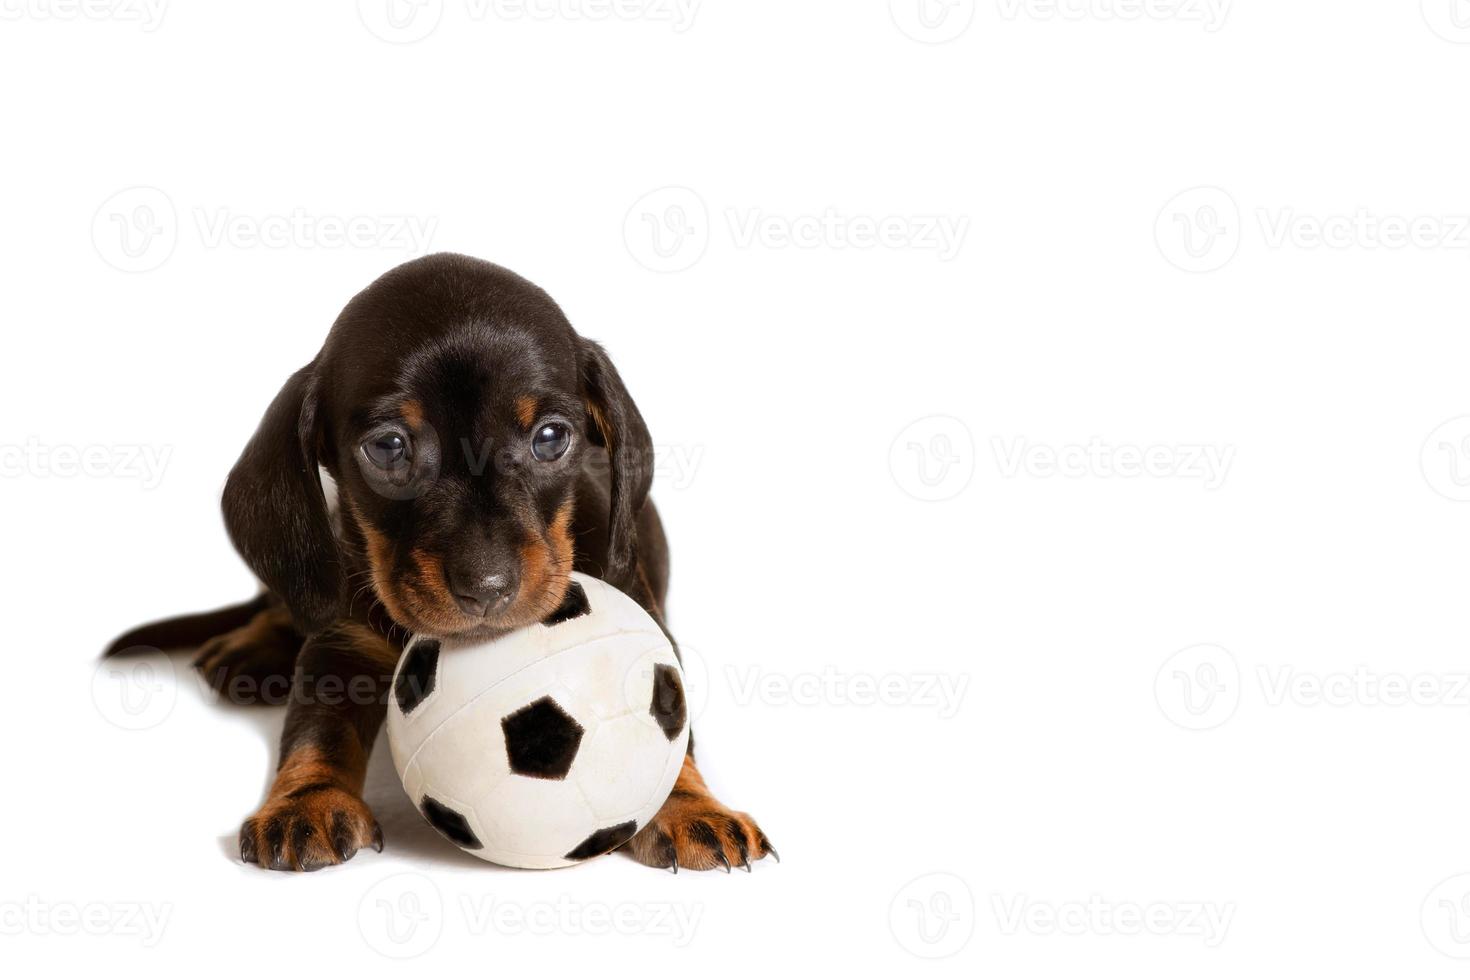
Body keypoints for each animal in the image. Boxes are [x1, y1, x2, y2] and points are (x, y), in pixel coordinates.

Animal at [108, 252, 776, 875]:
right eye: (388, 448)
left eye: (551, 437)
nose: (487, 589)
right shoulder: (339, 643)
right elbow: (316, 728)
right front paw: (306, 801)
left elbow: (675, 725)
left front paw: (690, 805)